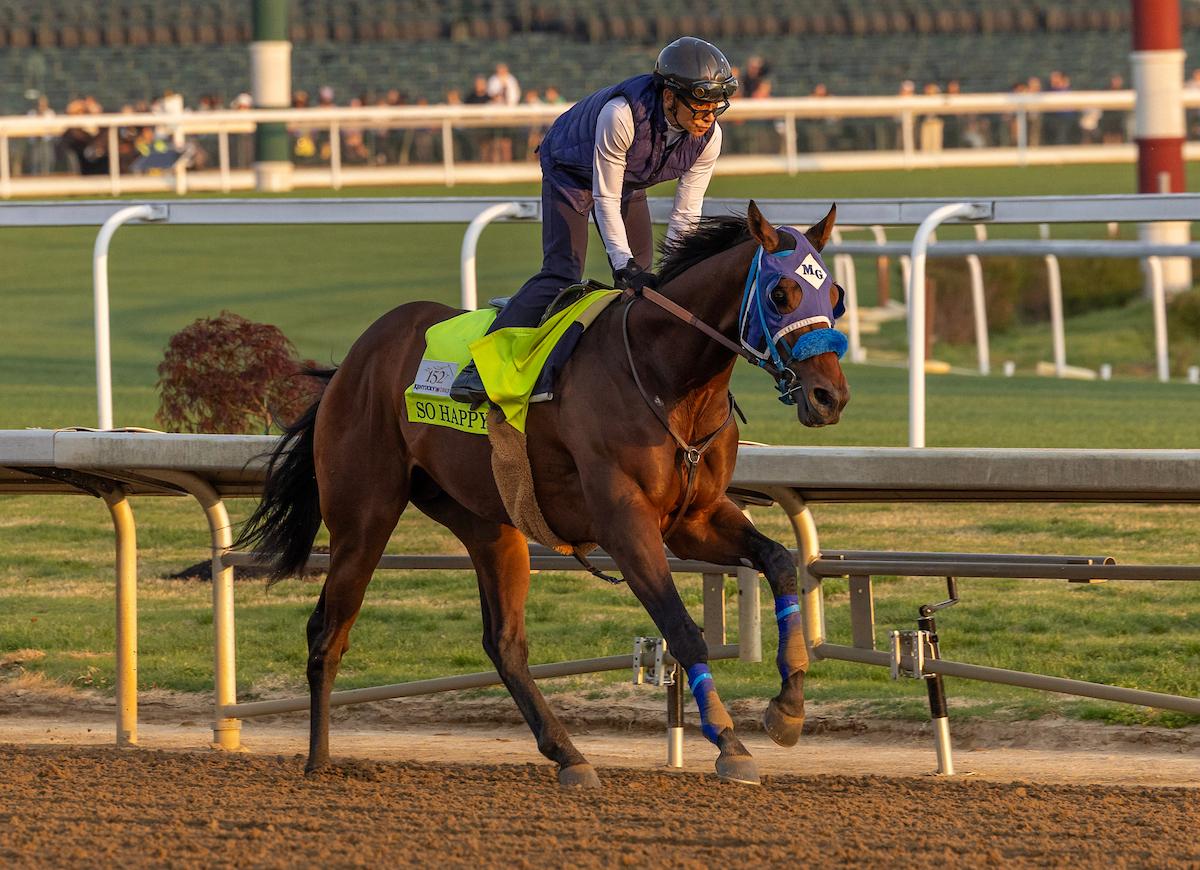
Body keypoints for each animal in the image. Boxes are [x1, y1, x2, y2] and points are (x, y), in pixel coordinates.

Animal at [237, 200, 850, 787]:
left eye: (836, 296)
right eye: (780, 292)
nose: (830, 398)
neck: (667, 376)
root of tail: (354, 360)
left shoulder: (693, 519)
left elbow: (778, 561)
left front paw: (788, 707)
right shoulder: (625, 524)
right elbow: (681, 630)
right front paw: (729, 742)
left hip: (489, 523)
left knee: (504, 642)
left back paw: (569, 756)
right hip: (363, 515)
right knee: (328, 630)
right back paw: (318, 760)